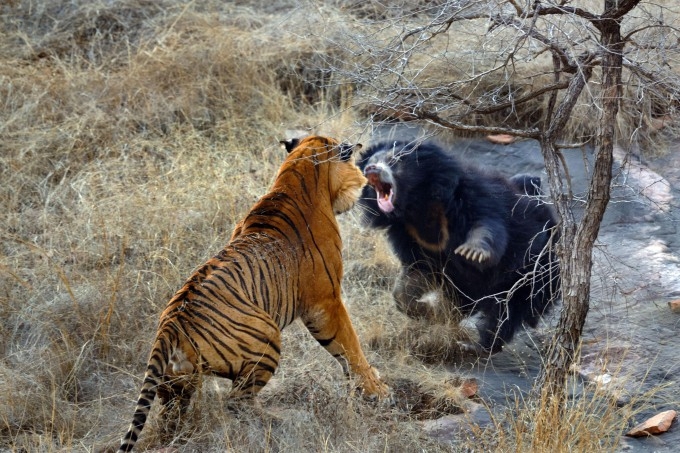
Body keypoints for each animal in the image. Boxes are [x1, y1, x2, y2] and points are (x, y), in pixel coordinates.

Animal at [119, 135, 390, 452]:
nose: (364, 180)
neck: (295, 175)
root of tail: (169, 325)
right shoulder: (325, 301)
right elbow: (350, 345)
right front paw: (377, 390)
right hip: (267, 337)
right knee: (236, 401)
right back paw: (281, 420)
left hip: (176, 384)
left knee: (173, 416)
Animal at [358, 140, 560, 354]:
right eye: (370, 162)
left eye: (394, 160)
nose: (371, 169)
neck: (417, 206)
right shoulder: (409, 236)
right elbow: (414, 275)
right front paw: (427, 311)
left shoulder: (472, 196)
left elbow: (487, 225)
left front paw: (472, 252)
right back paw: (448, 315)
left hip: (533, 274)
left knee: (506, 313)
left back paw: (477, 345)